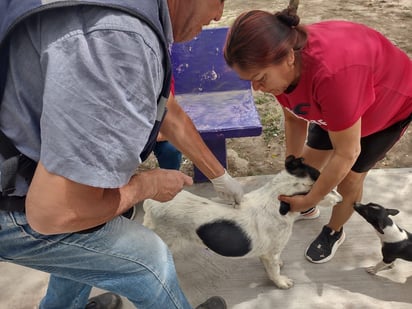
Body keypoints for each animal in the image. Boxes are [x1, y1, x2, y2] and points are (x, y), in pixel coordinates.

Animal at [143, 155, 342, 288]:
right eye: (327, 189)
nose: (341, 200)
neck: (276, 201)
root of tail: (150, 203)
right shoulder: (271, 253)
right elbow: (274, 272)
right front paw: (281, 282)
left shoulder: (268, 254)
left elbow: (272, 264)